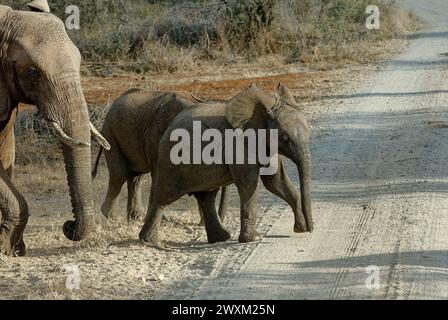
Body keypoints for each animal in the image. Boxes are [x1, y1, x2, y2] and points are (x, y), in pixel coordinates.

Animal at [139, 83, 312, 248]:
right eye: (284, 138)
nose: (311, 229)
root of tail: (172, 123)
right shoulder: (239, 145)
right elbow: (249, 185)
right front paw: (252, 239)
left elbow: (276, 183)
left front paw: (300, 229)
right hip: (170, 159)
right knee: (163, 197)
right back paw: (150, 242)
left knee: (206, 197)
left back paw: (221, 238)